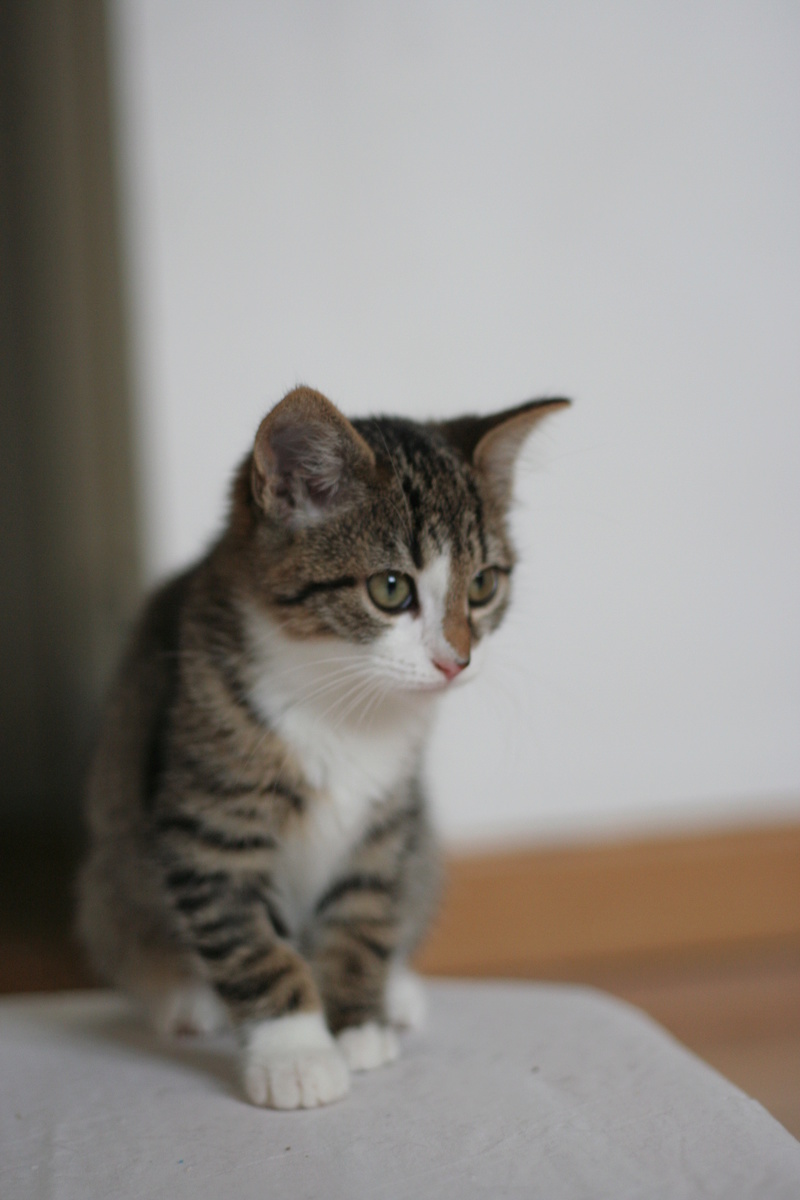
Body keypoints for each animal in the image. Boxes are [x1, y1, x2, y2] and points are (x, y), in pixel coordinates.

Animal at [76, 381, 568, 1104]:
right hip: (110, 870)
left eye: (483, 585)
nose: (456, 661)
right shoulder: (208, 818)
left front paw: (357, 1023)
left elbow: (363, 914)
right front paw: (295, 1054)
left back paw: (397, 990)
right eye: (390, 589)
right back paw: (182, 994)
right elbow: (250, 940)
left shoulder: (387, 817)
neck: (341, 701)